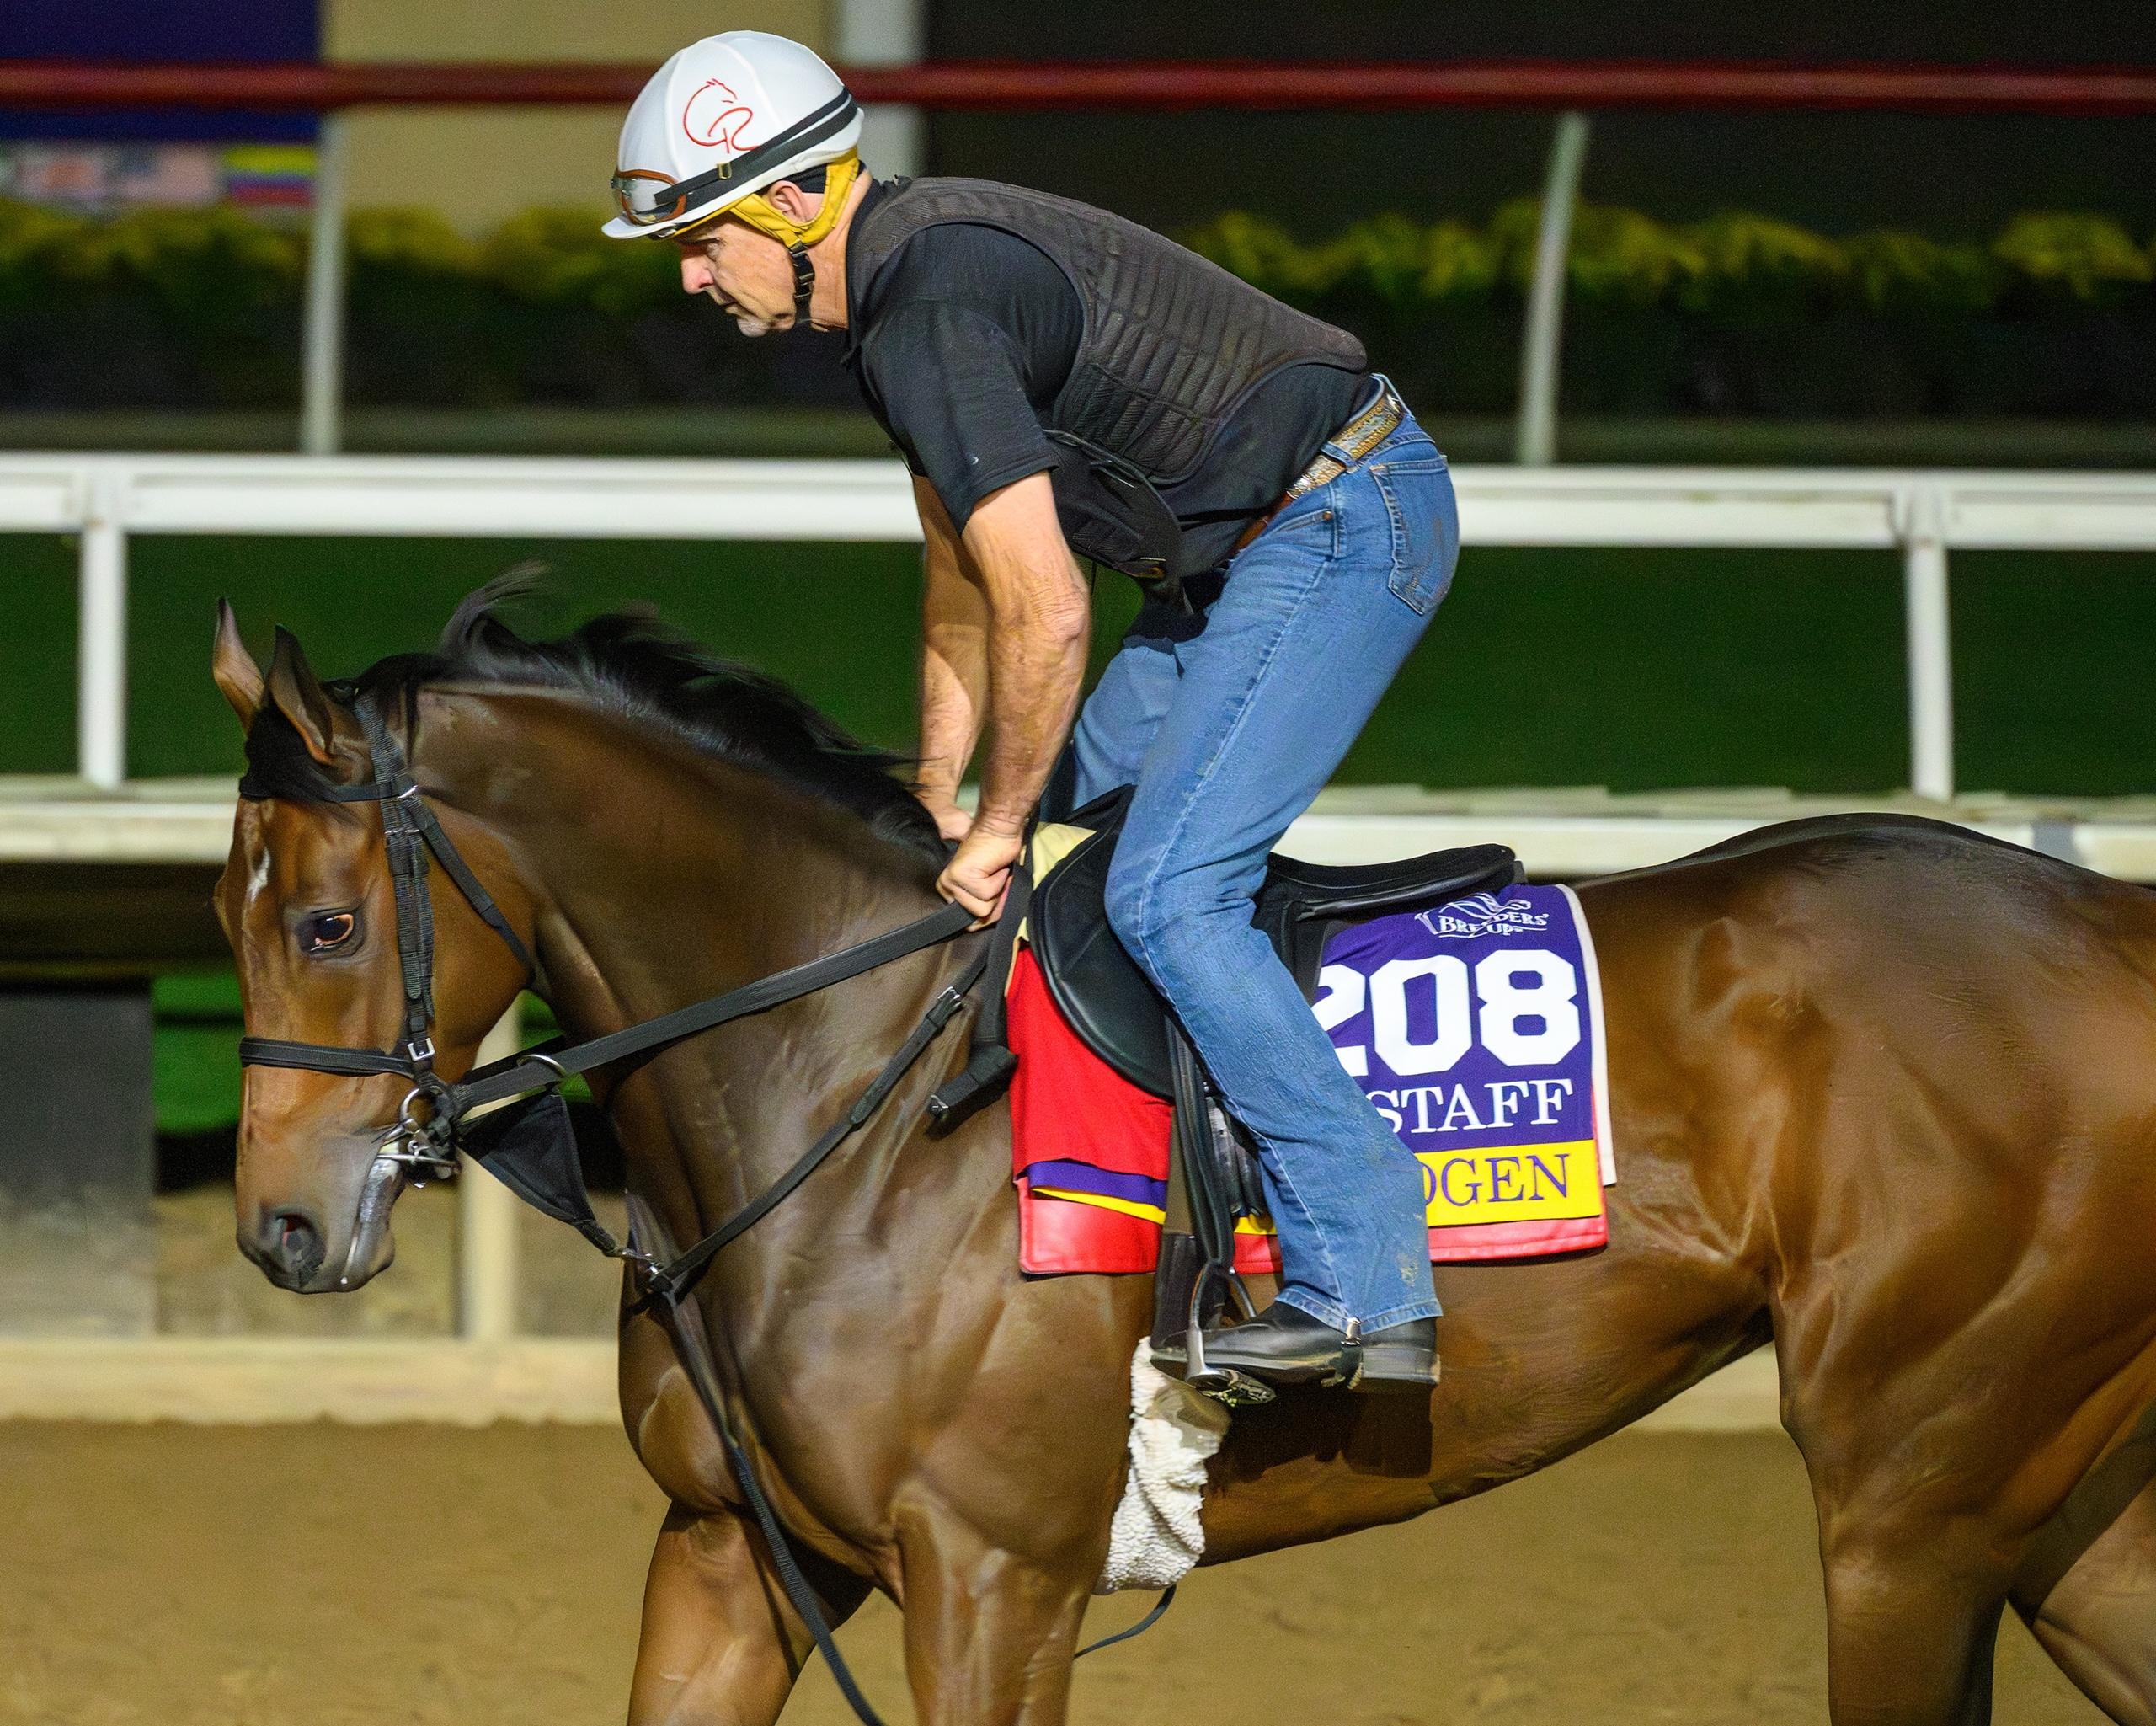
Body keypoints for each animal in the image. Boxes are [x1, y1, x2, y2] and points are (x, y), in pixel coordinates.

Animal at [213, 588, 2156, 1726]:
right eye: (223, 915)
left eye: (324, 922)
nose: (280, 1228)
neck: (850, 1100)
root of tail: (2104, 925)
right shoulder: (729, 1546)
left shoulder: (992, 1576)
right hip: (2046, 1497)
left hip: (1910, 1495)